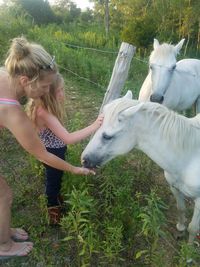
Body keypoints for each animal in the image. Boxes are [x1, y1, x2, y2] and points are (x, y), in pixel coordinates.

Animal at [81, 91, 200, 245]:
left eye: (107, 136)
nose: (84, 160)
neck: (188, 159)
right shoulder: (175, 188)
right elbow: (181, 209)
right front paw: (180, 228)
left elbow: (193, 228)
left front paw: (188, 249)